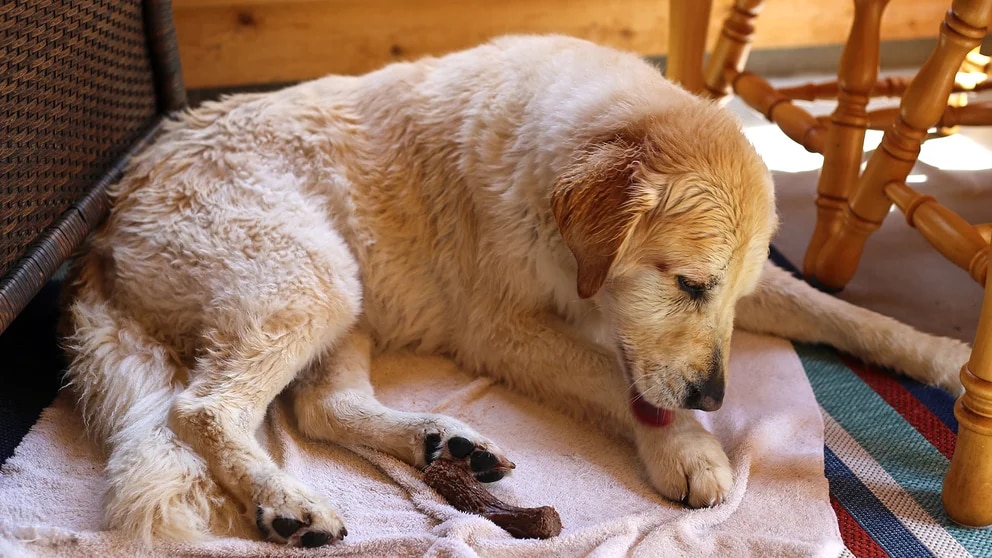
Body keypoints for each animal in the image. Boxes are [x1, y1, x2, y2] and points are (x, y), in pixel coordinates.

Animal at [66, 36, 972, 552]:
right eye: (689, 285)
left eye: (729, 296)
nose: (715, 396)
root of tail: (110, 218)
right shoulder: (506, 330)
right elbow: (618, 381)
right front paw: (688, 448)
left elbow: (836, 310)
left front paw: (941, 352)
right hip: (310, 281)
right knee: (204, 409)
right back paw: (287, 501)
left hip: (345, 297)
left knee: (317, 409)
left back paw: (443, 444)